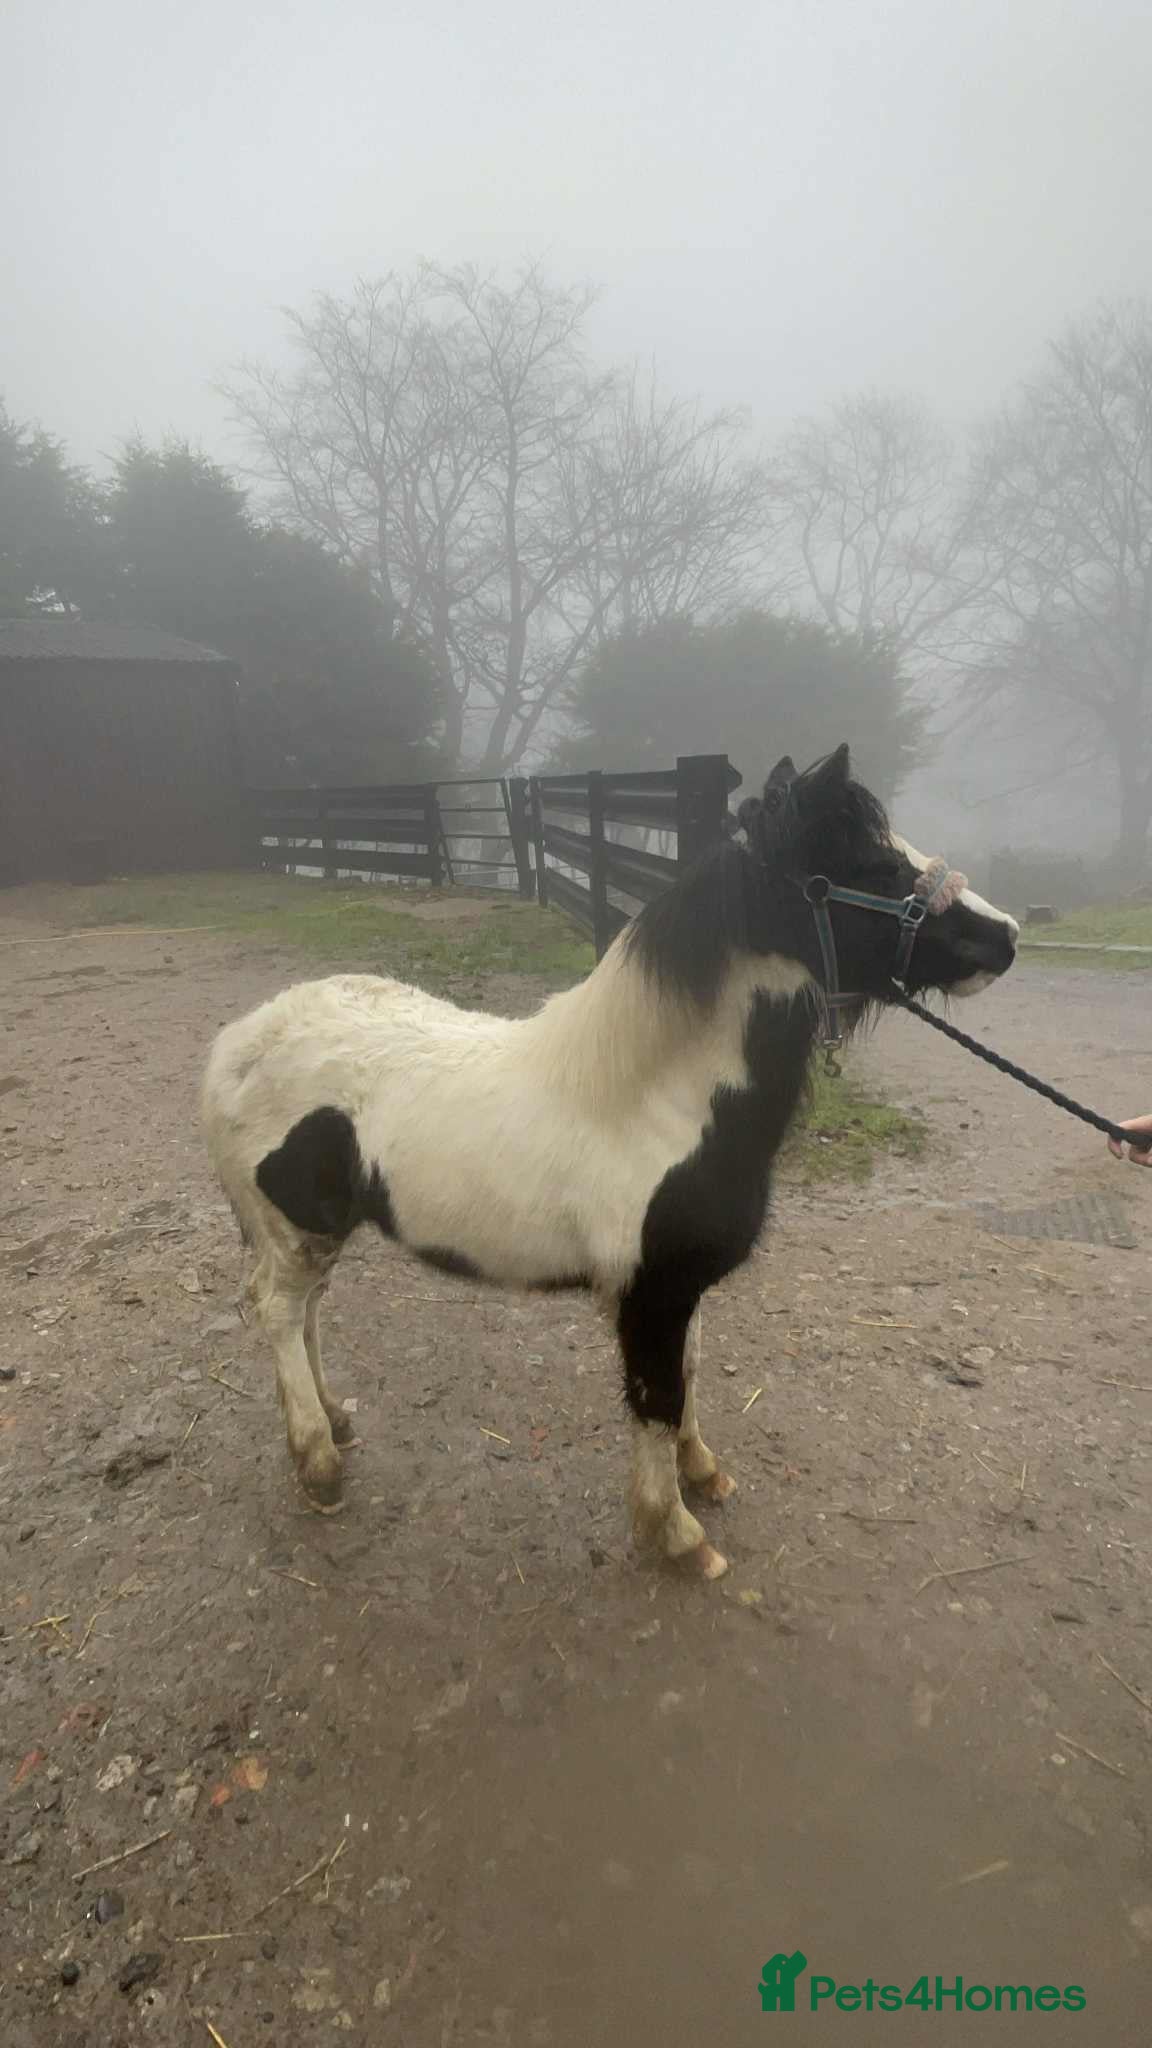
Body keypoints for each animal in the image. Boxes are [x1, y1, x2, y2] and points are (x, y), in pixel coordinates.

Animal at [201, 746, 1017, 1580]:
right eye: (874, 866)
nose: (1006, 938)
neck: (656, 1102)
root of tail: (239, 1043)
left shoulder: (681, 1285)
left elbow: (688, 1374)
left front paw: (702, 1472)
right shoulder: (648, 1295)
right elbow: (655, 1399)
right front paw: (678, 1535)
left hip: (319, 1232)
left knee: (307, 1312)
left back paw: (335, 1420)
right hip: (297, 1232)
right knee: (277, 1310)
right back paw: (318, 1463)